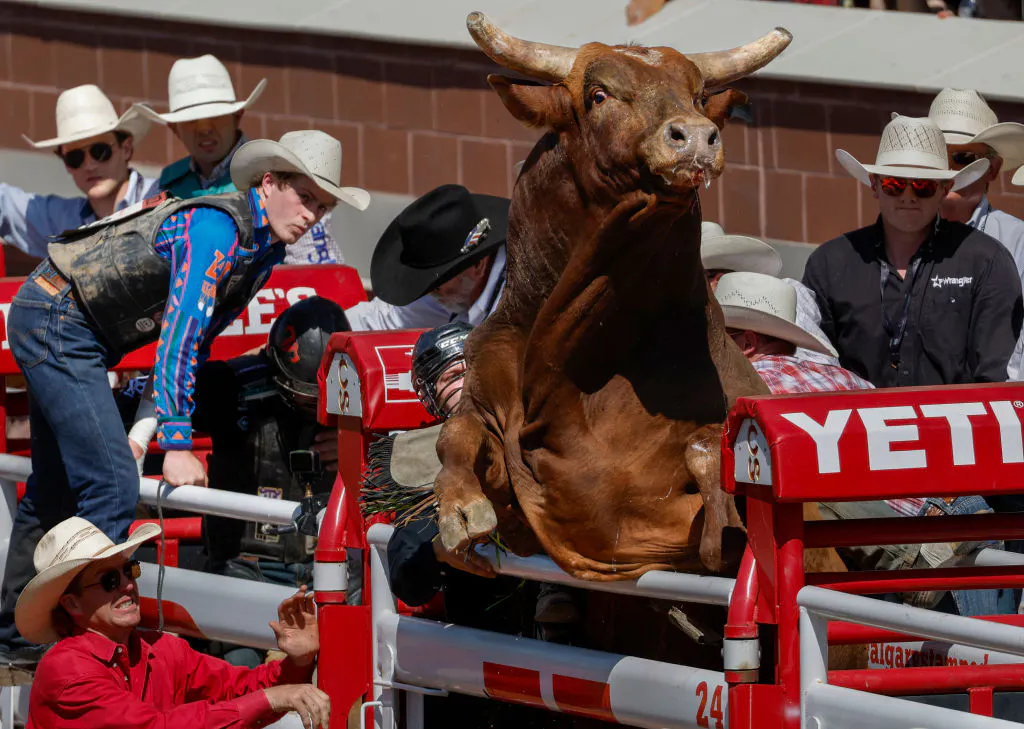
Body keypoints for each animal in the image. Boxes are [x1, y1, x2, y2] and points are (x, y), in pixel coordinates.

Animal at [432, 11, 790, 581]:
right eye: (598, 95)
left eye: (697, 95)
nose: (695, 138)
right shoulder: (493, 420)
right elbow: (456, 435)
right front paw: (461, 511)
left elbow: (706, 454)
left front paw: (725, 520)